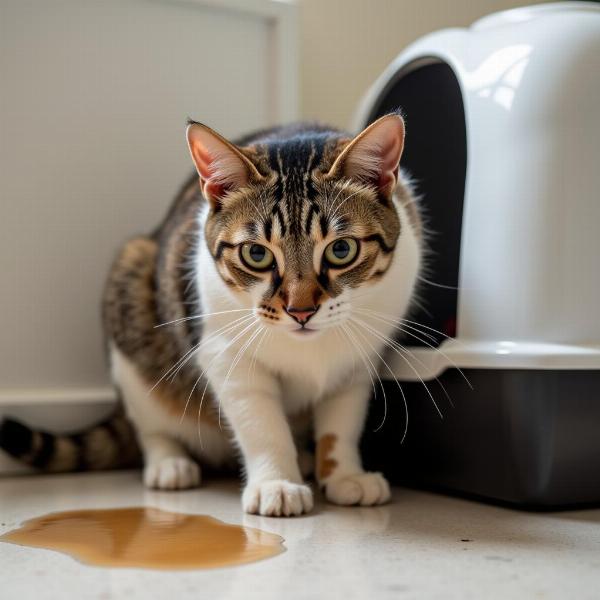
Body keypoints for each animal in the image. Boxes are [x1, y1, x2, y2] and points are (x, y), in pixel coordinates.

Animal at [0, 112, 422, 516]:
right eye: (257, 254)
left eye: (341, 250)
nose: (300, 311)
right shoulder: (224, 352)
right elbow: (261, 424)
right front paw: (276, 483)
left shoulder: (357, 362)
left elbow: (341, 425)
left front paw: (346, 476)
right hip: (131, 297)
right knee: (150, 426)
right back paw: (169, 464)